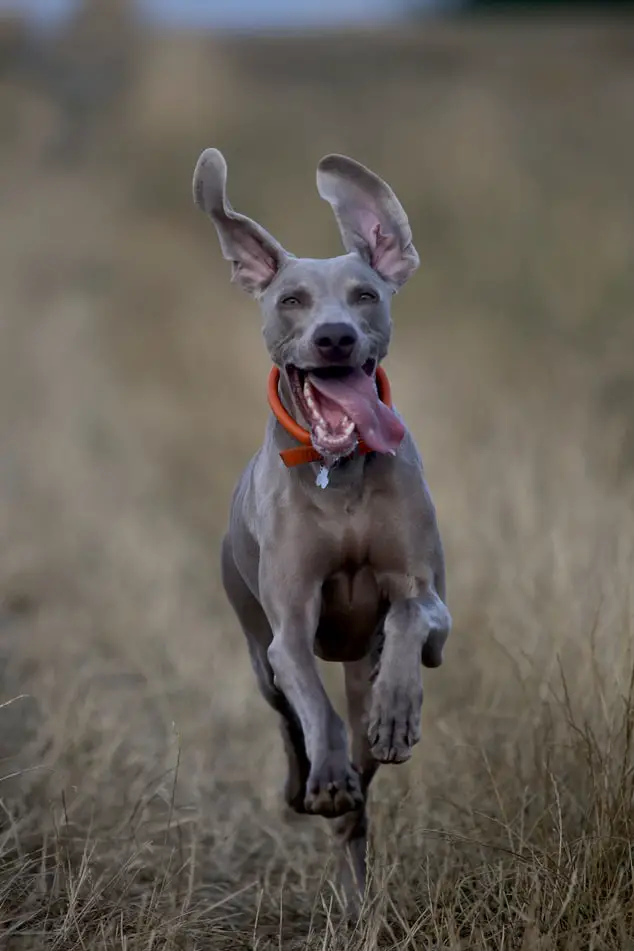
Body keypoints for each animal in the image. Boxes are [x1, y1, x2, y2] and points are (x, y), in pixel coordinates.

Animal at [191, 147, 450, 900]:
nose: (334, 337)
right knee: (290, 723)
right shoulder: (287, 629)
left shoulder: (433, 608)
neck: (342, 474)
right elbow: (310, 694)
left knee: (363, 767)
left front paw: (398, 708)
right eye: (291, 300)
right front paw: (324, 775)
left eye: (365, 295)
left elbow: (409, 617)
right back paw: (307, 784)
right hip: (256, 655)